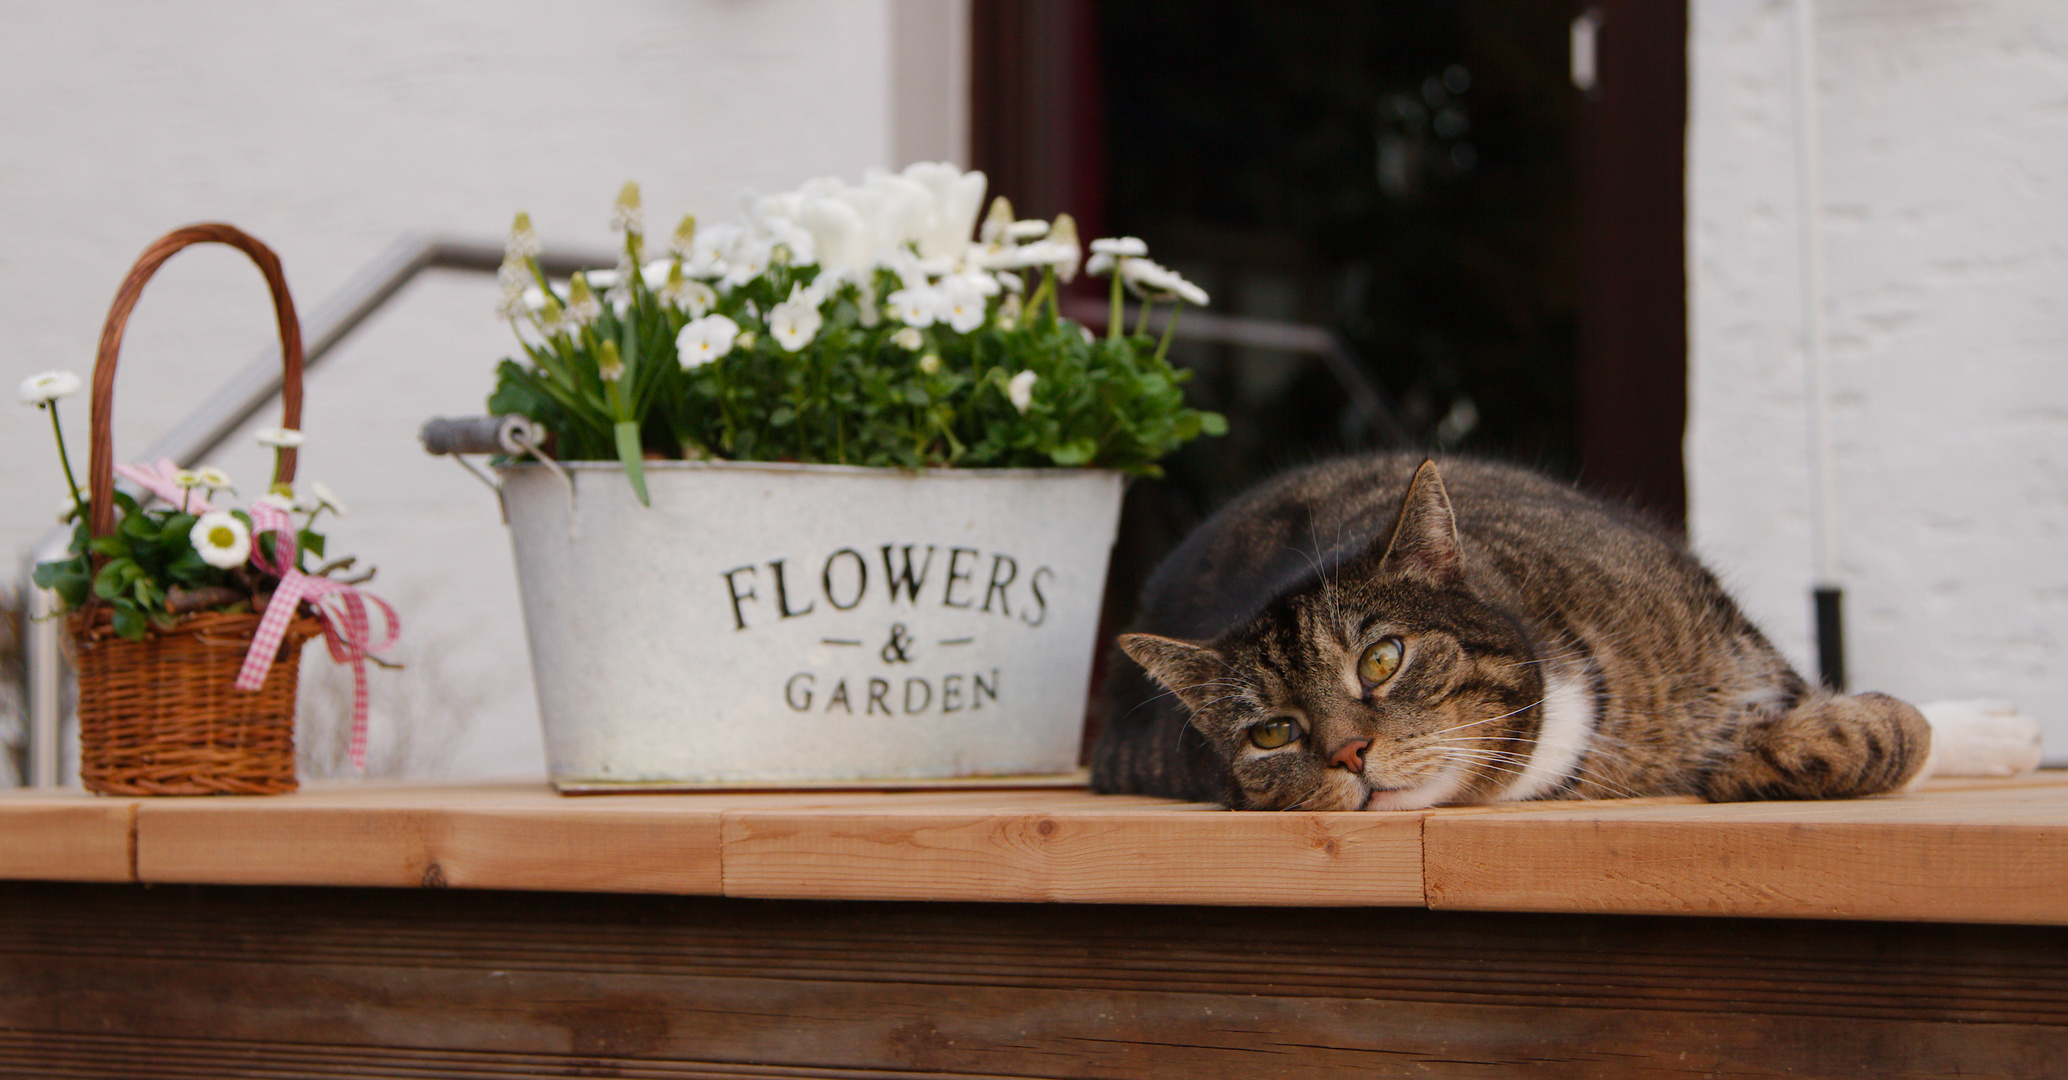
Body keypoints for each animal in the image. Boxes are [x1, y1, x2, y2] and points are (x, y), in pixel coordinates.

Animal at [1091, 448, 2043, 802]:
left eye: (1383, 660)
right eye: (1273, 732)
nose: (1349, 754)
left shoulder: (1740, 648)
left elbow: (1870, 717)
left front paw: (1989, 731)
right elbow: (1881, 734)